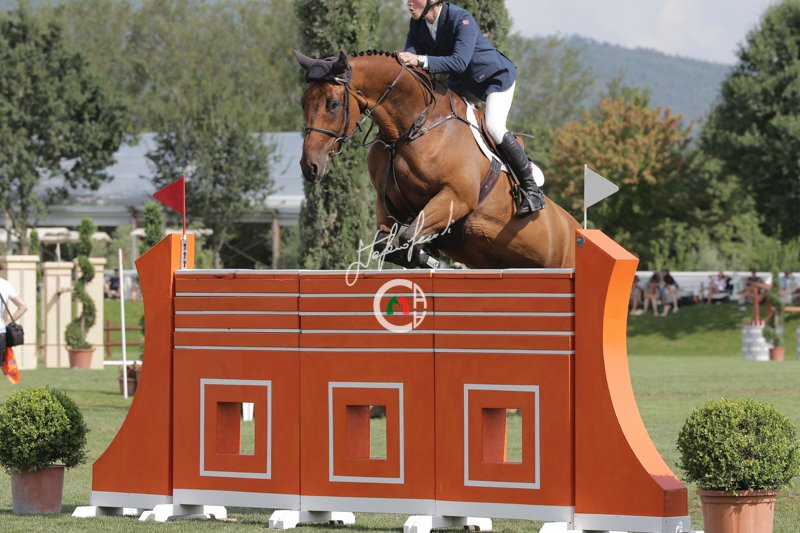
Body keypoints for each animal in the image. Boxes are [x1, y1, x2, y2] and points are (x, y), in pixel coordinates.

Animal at [295, 50, 580, 269]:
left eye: (333, 104)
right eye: (303, 103)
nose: (310, 167)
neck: (407, 131)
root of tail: (574, 226)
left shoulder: (455, 198)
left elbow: (408, 238)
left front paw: (439, 262)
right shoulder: (389, 202)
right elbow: (384, 246)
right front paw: (436, 260)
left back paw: (531, 197)